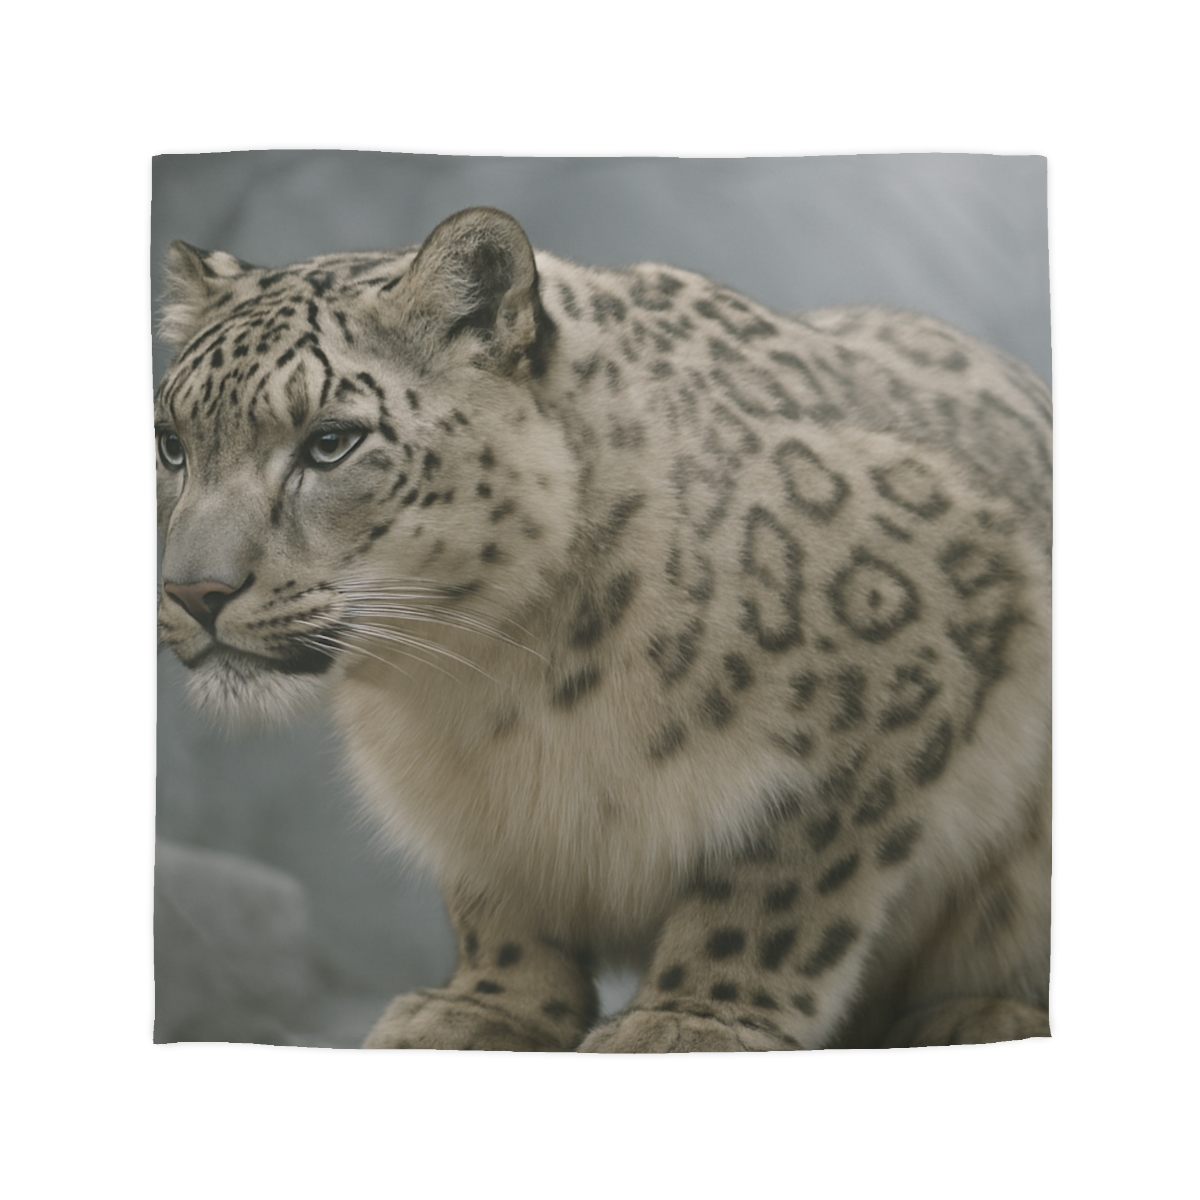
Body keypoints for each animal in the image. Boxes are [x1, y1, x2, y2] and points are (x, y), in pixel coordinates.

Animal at [155, 206, 1052, 1052]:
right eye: (172, 444)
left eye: (331, 441)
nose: (194, 590)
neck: (491, 679)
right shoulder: (481, 800)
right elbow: (500, 895)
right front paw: (486, 1005)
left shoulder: (896, 686)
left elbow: (779, 884)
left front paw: (690, 1020)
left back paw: (980, 1012)